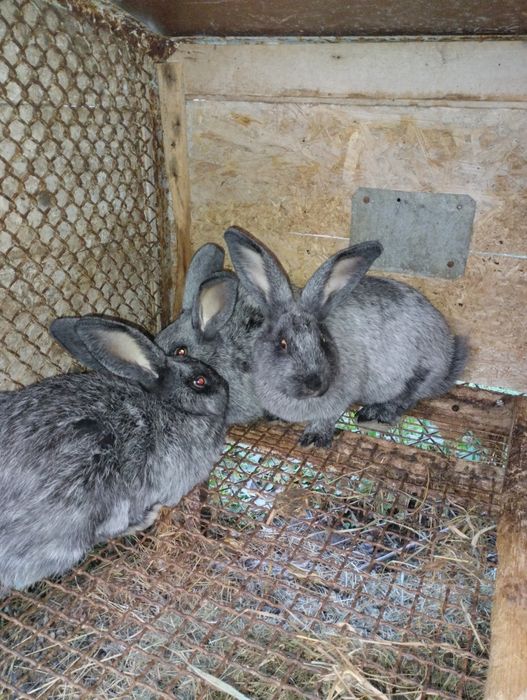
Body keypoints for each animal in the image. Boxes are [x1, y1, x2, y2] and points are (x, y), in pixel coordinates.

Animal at [224, 226, 468, 448]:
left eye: (322, 340)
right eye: (282, 344)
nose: (315, 384)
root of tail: (449, 357)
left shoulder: (341, 397)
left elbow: (327, 417)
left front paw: (314, 439)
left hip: (418, 372)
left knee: (406, 398)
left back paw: (374, 414)